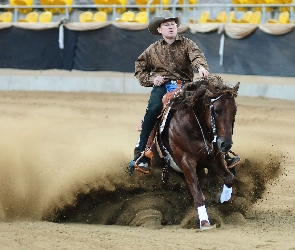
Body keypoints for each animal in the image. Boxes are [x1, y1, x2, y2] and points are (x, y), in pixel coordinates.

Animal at [127, 75, 240, 231]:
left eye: (234, 111)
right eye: (217, 110)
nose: (226, 144)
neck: (195, 125)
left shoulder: (213, 158)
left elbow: (229, 178)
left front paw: (221, 198)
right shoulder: (186, 161)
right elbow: (198, 193)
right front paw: (204, 222)